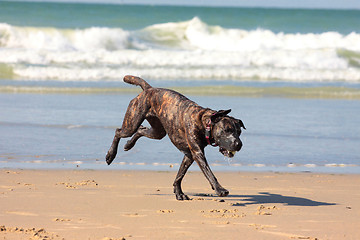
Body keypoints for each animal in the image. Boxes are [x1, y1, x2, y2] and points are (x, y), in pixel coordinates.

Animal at [105, 75, 245, 201]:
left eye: (239, 132)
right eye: (227, 130)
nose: (239, 144)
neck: (204, 123)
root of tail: (148, 90)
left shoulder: (189, 155)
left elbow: (179, 175)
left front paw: (179, 193)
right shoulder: (197, 153)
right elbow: (209, 173)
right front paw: (219, 189)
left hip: (157, 131)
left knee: (141, 130)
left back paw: (129, 144)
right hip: (132, 123)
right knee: (119, 132)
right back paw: (111, 155)